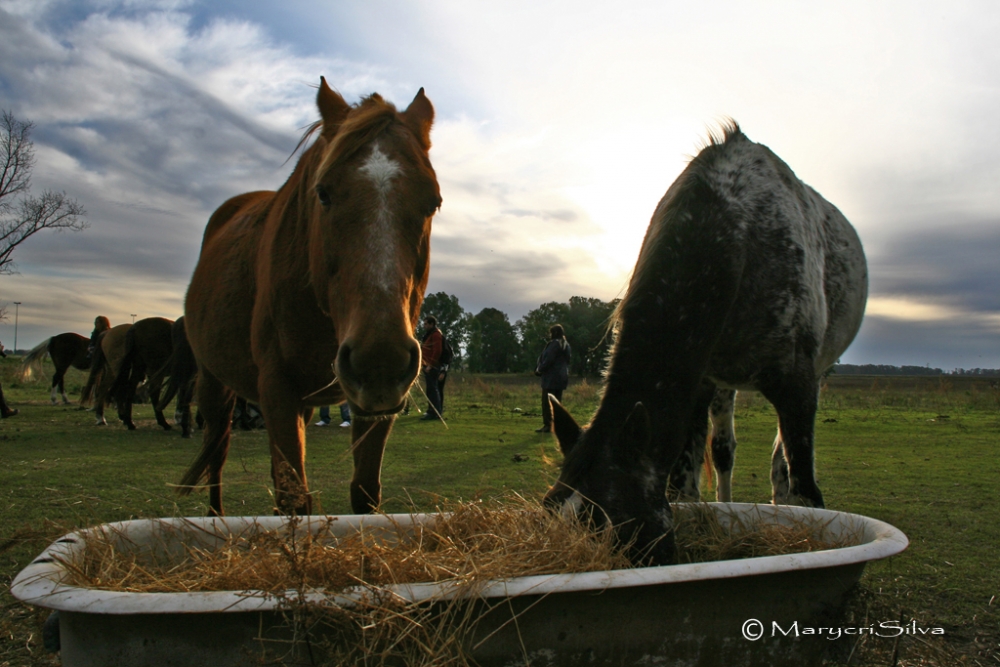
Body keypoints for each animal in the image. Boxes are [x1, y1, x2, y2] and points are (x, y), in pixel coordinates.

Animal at [177, 78, 442, 516]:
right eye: (324, 193)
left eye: (433, 202)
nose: (379, 359)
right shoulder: (277, 389)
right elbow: (293, 501)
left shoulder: (372, 407)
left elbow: (364, 494)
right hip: (214, 384)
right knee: (217, 452)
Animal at [548, 124, 868, 564]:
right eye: (548, 511)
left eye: (623, 530)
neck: (743, 232)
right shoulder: (698, 384)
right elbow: (684, 489)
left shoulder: (798, 385)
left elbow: (805, 487)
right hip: (722, 385)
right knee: (723, 450)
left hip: (813, 376)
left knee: (780, 462)